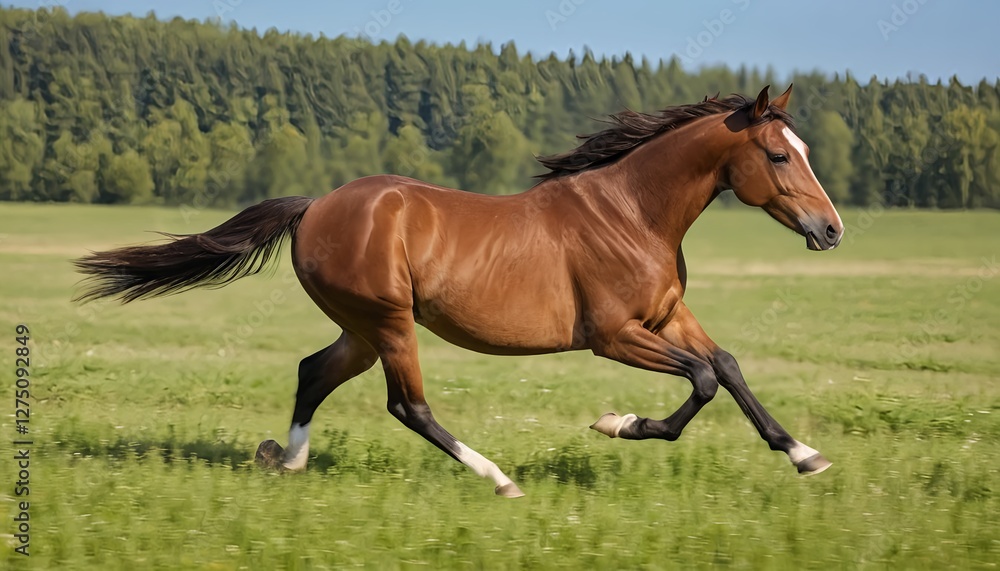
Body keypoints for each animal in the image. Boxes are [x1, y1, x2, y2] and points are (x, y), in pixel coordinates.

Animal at [74, 85, 843, 498]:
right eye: (779, 155)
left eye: (803, 150)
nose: (831, 230)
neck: (632, 212)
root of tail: (317, 204)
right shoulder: (614, 335)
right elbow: (703, 380)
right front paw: (618, 423)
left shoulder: (666, 316)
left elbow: (729, 368)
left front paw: (806, 454)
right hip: (390, 322)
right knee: (407, 405)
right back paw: (499, 478)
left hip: (362, 327)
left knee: (313, 372)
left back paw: (287, 459)